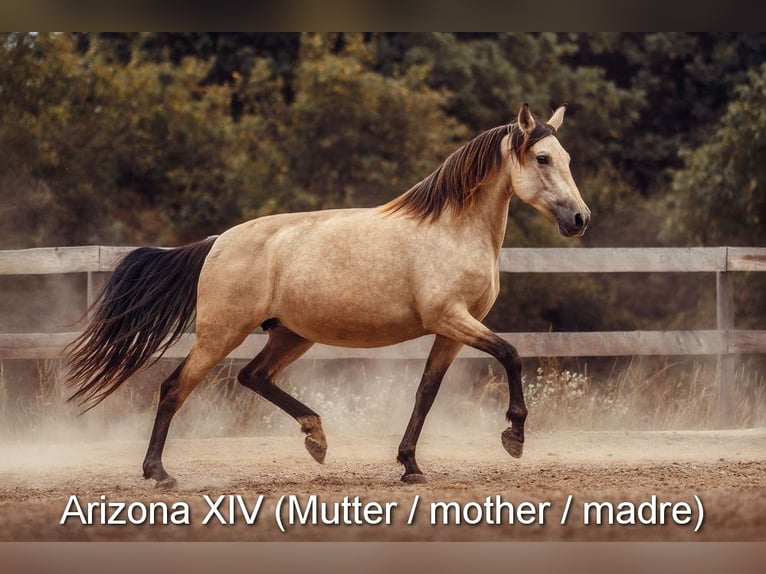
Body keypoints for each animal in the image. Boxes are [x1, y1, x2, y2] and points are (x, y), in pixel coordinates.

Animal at [66, 103, 590, 487]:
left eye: (567, 158)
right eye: (542, 158)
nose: (579, 219)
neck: (452, 230)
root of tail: (216, 242)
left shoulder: (452, 330)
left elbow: (426, 391)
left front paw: (410, 466)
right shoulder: (451, 318)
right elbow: (511, 353)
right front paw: (514, 435)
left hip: (291, 335)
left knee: (254, 377)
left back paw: (316, 437)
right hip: (222, 333)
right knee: (176, 387)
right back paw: (159, 473)